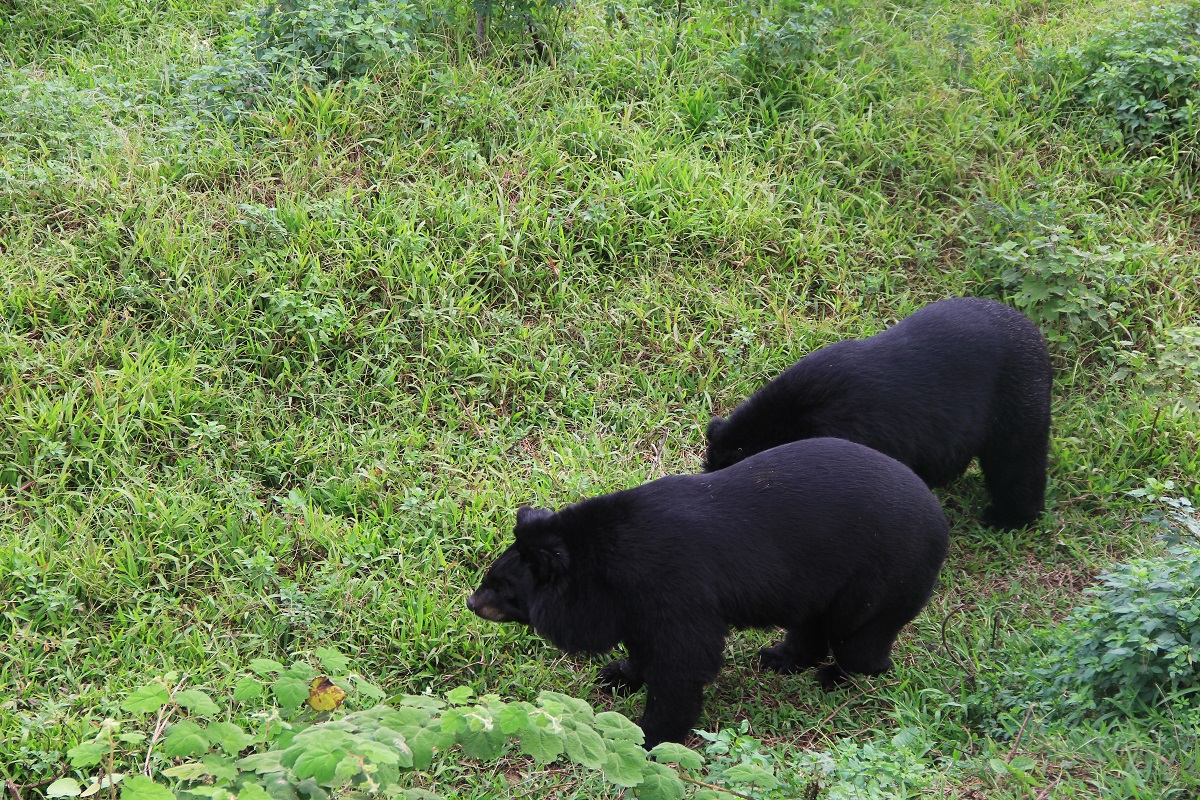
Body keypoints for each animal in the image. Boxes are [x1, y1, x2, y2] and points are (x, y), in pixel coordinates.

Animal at [465, 438, 945, 743]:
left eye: (501, 588)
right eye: (490, 578)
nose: (471, 602)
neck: (603, 571)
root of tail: (938, 520)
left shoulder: (673, 586)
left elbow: (683, 658)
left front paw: (652, 734)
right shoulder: (634, 603)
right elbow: (645, 645)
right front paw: (617, 675)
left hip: (882, 575)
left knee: (860, 638)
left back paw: (834, 676)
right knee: (813, 623)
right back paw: (780, 658)